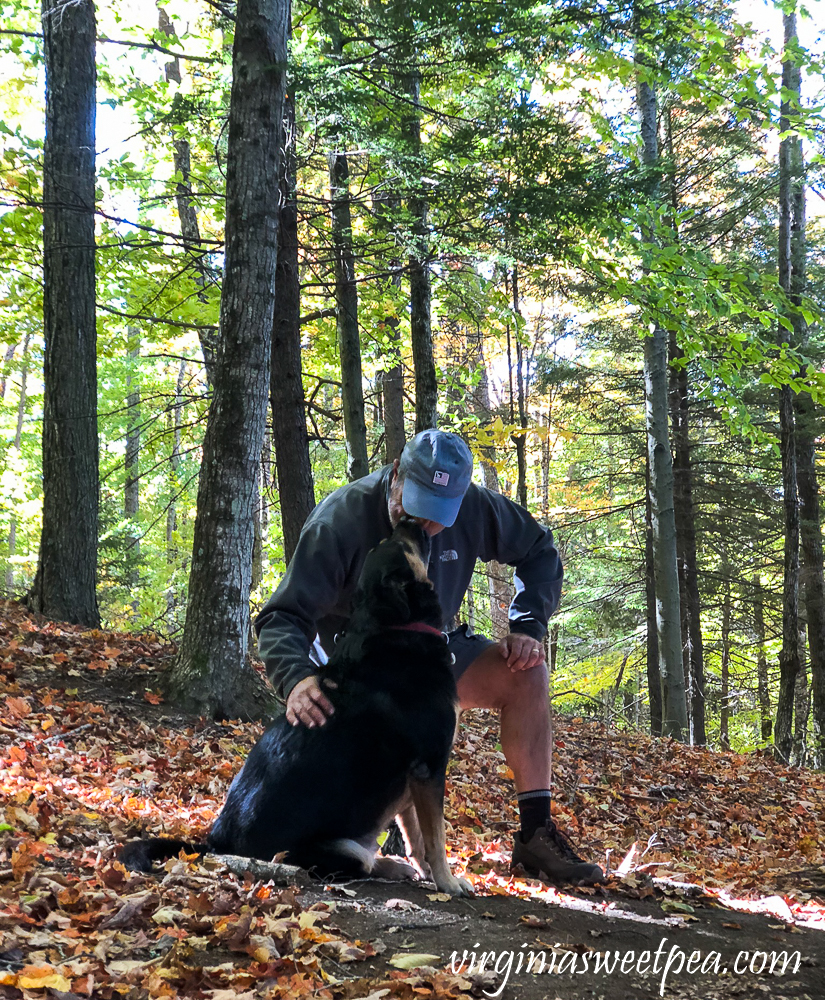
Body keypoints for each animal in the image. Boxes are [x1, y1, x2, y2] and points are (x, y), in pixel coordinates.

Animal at [119, 516, 474, 900]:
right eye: (396, 544)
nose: (408, 520)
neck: (395, 626)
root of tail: (215, 848)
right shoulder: (429, 767)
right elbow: (436, 838)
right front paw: (448, 882)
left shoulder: (413, 779)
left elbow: (416, 838)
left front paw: (431, 876)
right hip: (339, 849)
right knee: (361, 863)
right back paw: (388, 867)